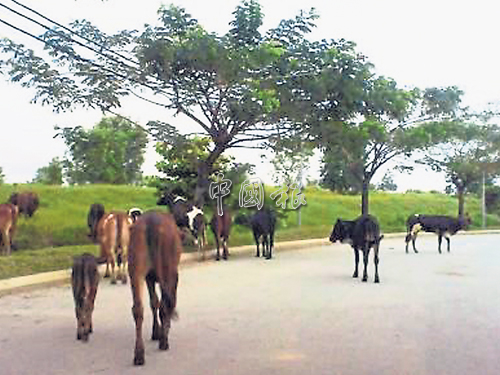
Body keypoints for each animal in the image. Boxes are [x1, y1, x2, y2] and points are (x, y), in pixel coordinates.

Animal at [128, 212, 183, 368]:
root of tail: (151, 224)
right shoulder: (173, 276)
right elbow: (166, 303)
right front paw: (163, 331)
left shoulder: (149, 278)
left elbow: (154, 302)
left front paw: (155, 332)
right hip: (167, 269)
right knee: (165, 305)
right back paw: (164, 342)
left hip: (135, 269)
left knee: (138, 309)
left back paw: (139, 354)